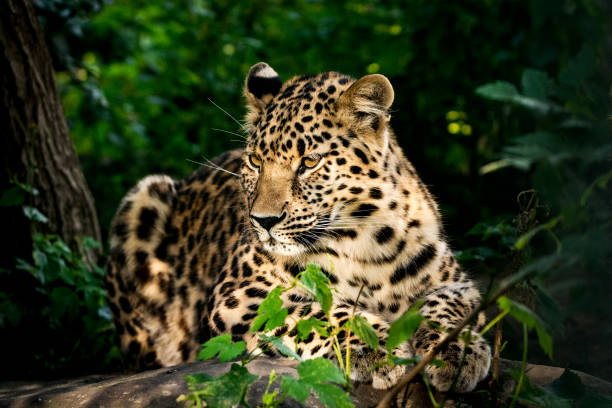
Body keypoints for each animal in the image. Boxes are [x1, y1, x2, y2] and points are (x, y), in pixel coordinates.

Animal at [103, 63, 490, 392]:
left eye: (310, 162)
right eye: (255, 161)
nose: (263, 221)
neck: (365, 243)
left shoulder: (456, 282)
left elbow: (447, 309)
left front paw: (458, 355)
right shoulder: (238, 294)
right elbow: (319, 313)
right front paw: (378, 348)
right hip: (143, 197)